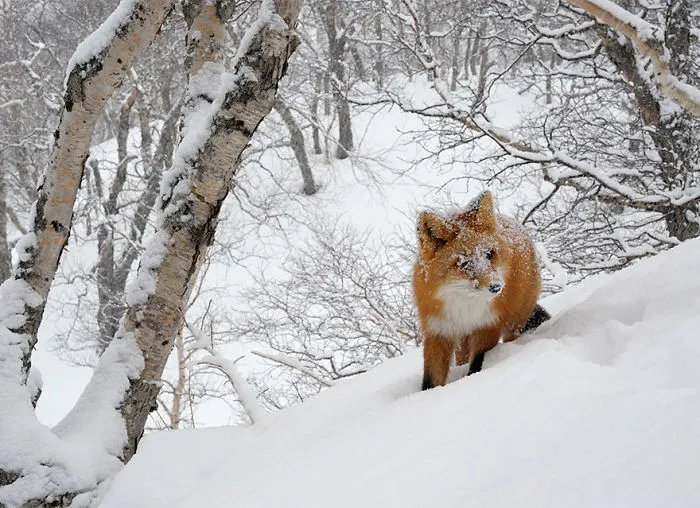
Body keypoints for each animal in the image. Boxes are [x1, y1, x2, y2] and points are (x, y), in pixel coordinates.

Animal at [413, 191, 550, 390]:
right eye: (464, 263)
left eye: (489, 254)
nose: (496, 287)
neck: (465, 307)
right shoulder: (438, 330)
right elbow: (431, 379)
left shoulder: (489, 324)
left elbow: (478, 364)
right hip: (462, 339)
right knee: (462, 357)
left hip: (515, 321)